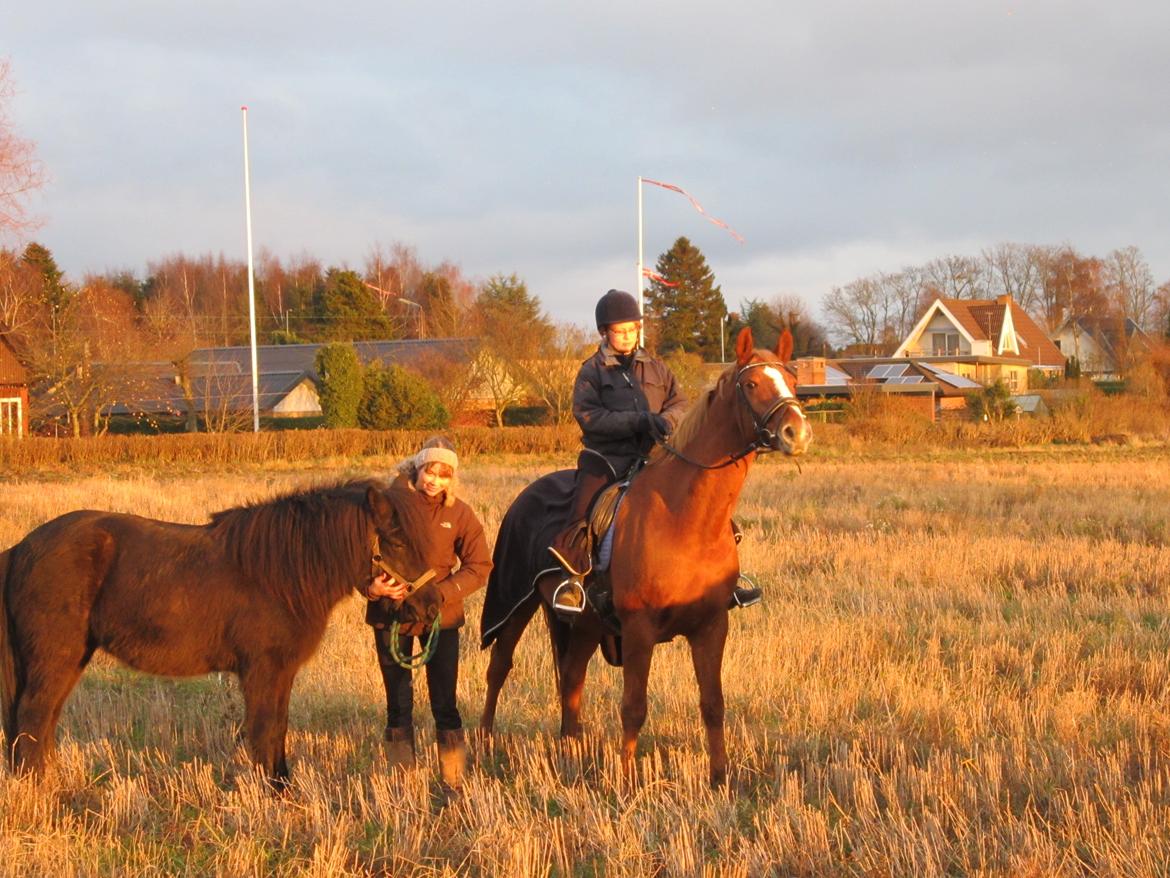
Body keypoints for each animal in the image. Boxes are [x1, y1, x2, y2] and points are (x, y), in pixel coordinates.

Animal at [0, 482, 442, 791]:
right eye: (396, 541)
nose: (433, 606)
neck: (281, 572)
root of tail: (20, 549)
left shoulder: (281, 673)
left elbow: (279, 728)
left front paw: (283, 787)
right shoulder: (262, 671)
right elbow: (264, 730)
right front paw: (272, 795)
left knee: (42, 721)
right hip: (55, 659)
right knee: (33, 716)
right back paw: (39, 791)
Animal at [479, 327, 809, 782]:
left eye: (792, 381)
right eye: (752, 384)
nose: (797, 432)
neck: (684, 519)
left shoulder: (712, 627)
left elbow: (713, 704)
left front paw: (720, 778)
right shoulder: (638, 630)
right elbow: (633, 708)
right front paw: (625, 779)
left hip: (584, 624)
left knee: (571, 678)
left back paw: (570, 750)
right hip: (515, 605)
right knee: (499, 667)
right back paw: (483, 742)